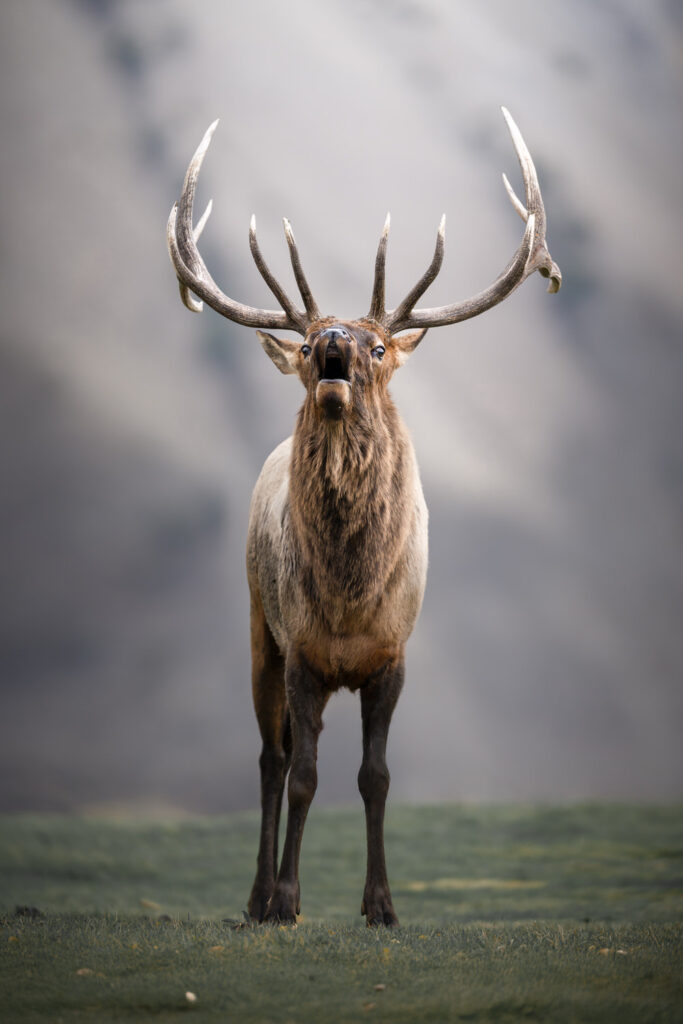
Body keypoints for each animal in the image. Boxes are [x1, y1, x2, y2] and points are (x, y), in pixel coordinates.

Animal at [167, 108, 561, 926]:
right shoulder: (302, 654)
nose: (333, 345)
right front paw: (287, 900)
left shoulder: (392, 656)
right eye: (306, 346)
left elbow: (374, 777)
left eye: (378, 346)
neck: (350, 602)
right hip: (258, 626)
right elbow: (305, 775)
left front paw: (381, 904)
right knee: (271, 758)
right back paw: (255, 898)